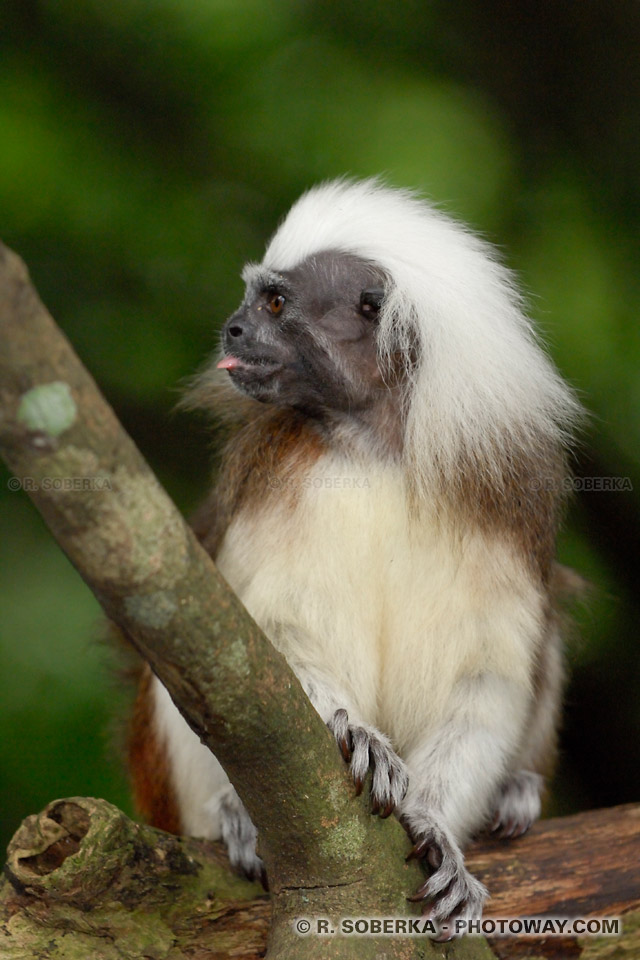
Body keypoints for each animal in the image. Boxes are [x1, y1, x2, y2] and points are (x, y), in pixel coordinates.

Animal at [127, 176, 584, 928]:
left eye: (274, 304)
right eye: (252, 300)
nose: (232, 327)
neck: (375, 441)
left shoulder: (503, 497)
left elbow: (489, 680)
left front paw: (437, 828)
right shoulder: (276, 475)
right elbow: (257, 643)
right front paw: (360, 737)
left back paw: (515, 790)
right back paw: (236, 816)